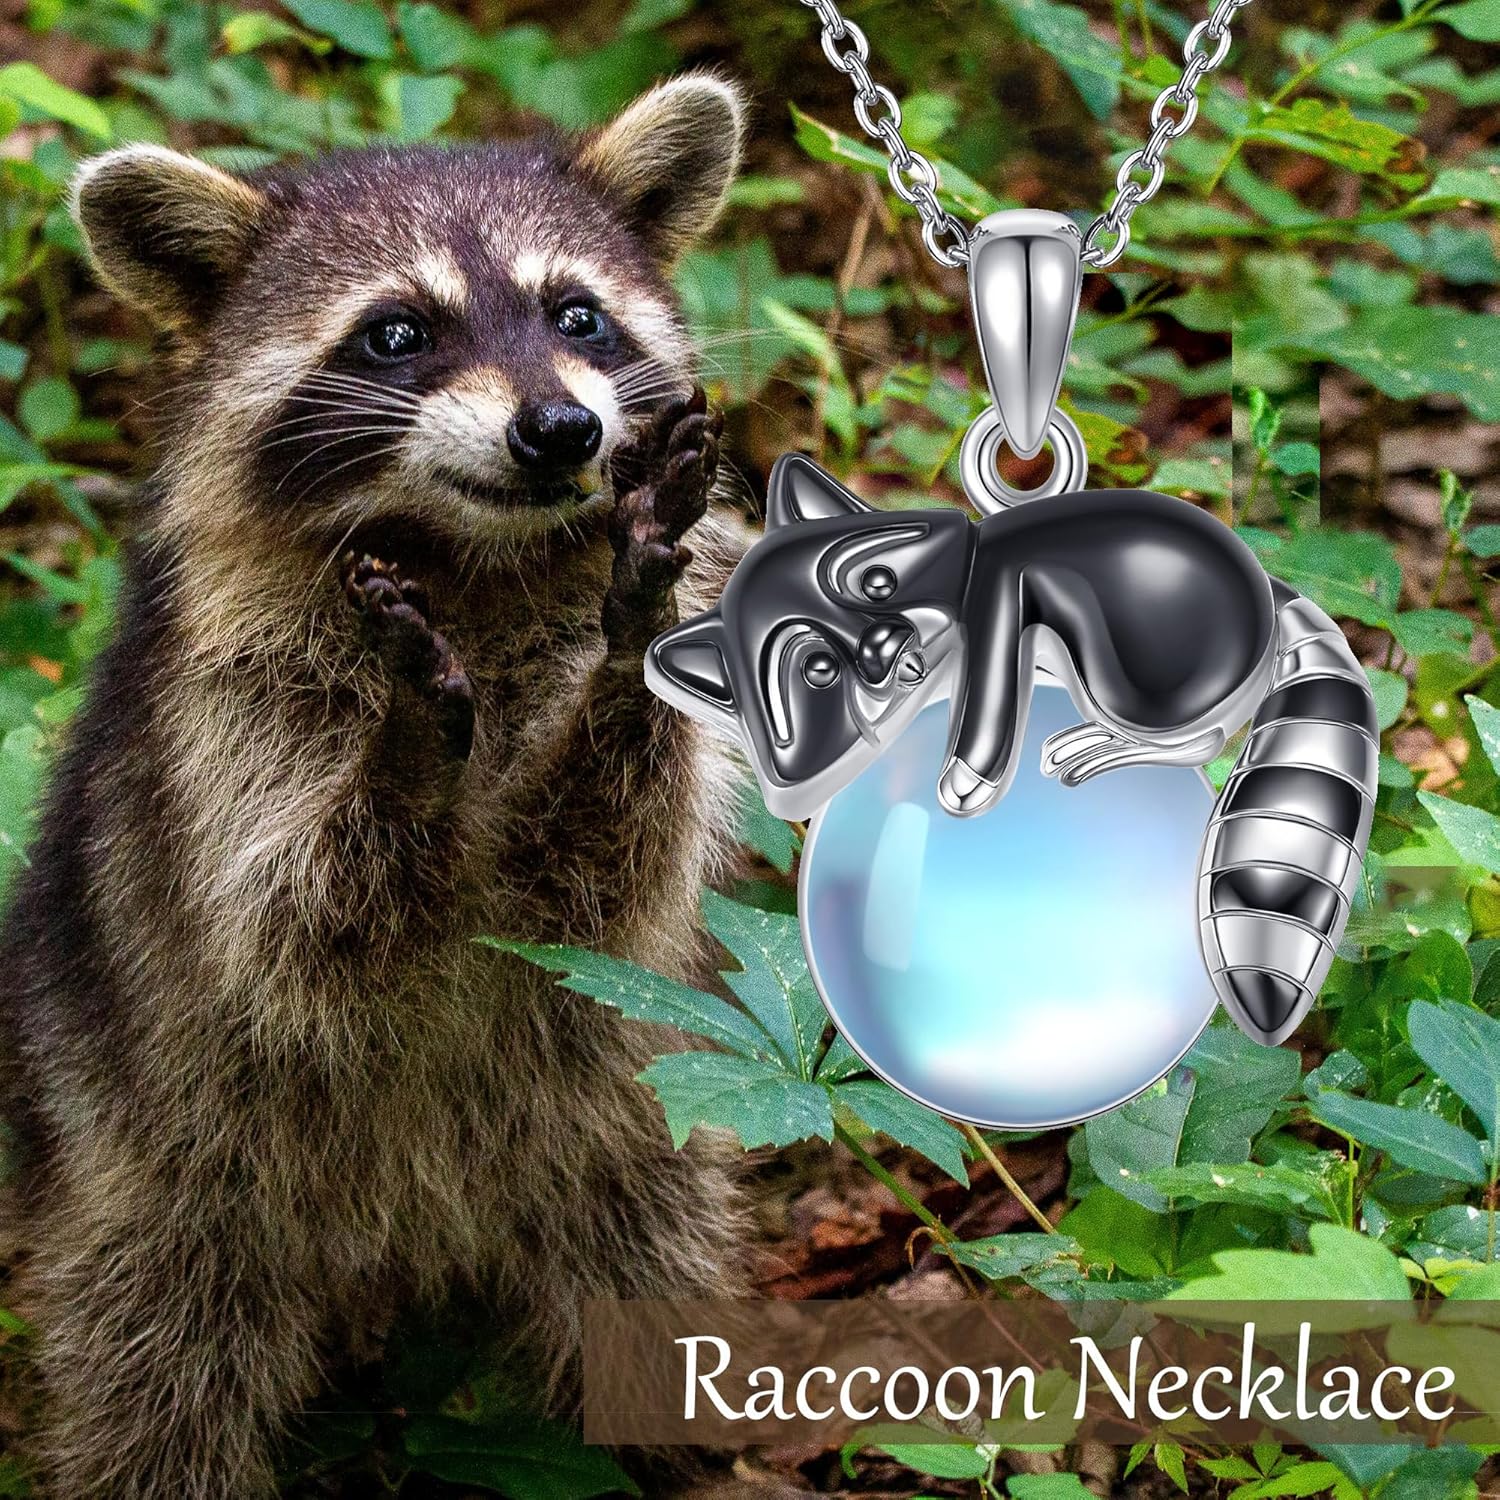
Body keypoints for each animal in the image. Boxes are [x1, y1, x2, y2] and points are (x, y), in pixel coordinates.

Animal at [0, 76, 754, 1498]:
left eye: (577, 314)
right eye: (396, 332)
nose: (561, 429)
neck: (473, 559)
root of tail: (399, 1248)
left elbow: (603, 882)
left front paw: (621, 657)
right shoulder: (228, 715)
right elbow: (293, 928)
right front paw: (405, 756)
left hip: (626, 1138)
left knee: (656, 1286)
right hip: (157, 1179)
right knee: (156, 1384)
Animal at [648, 453, 1379, 1048]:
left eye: (878, 583)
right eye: (817, 669)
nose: (887, 649)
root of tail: (1266, 594)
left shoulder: (1005, 590)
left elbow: (989, 702)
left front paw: (966, 773)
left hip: (1134, 664)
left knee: (1199, 736)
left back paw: (1106, 744)